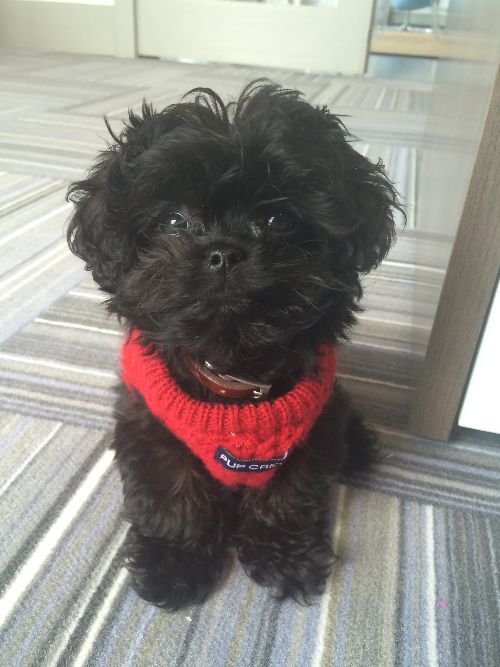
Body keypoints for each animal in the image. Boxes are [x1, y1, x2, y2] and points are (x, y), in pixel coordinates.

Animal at [67, 79, 402, 612]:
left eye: (278, 219)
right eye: (174, 221)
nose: (223, 252)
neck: (231, 368)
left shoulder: (311, 431)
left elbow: (288, 496)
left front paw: (285, 559)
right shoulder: (152, 428)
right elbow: (172, 497)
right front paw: (174, 564)